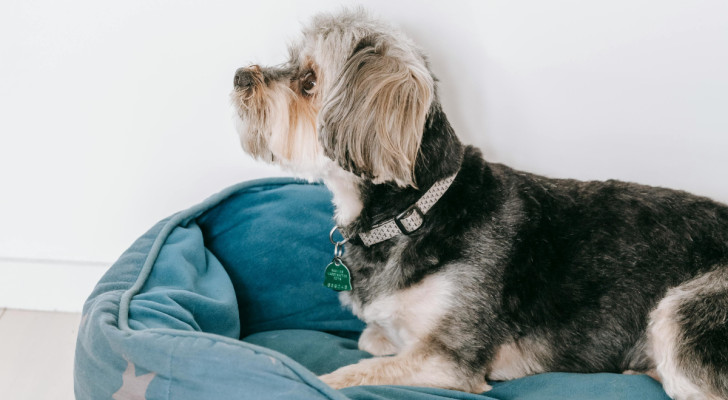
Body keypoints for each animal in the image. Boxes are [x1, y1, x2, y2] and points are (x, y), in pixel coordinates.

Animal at [232, 9, 728, 400]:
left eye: (308, 81)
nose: (238, 76)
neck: (415, 214)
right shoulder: (387, 332)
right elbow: (373, 339)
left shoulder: (449, 358)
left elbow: (343, 376)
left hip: (683, 314)